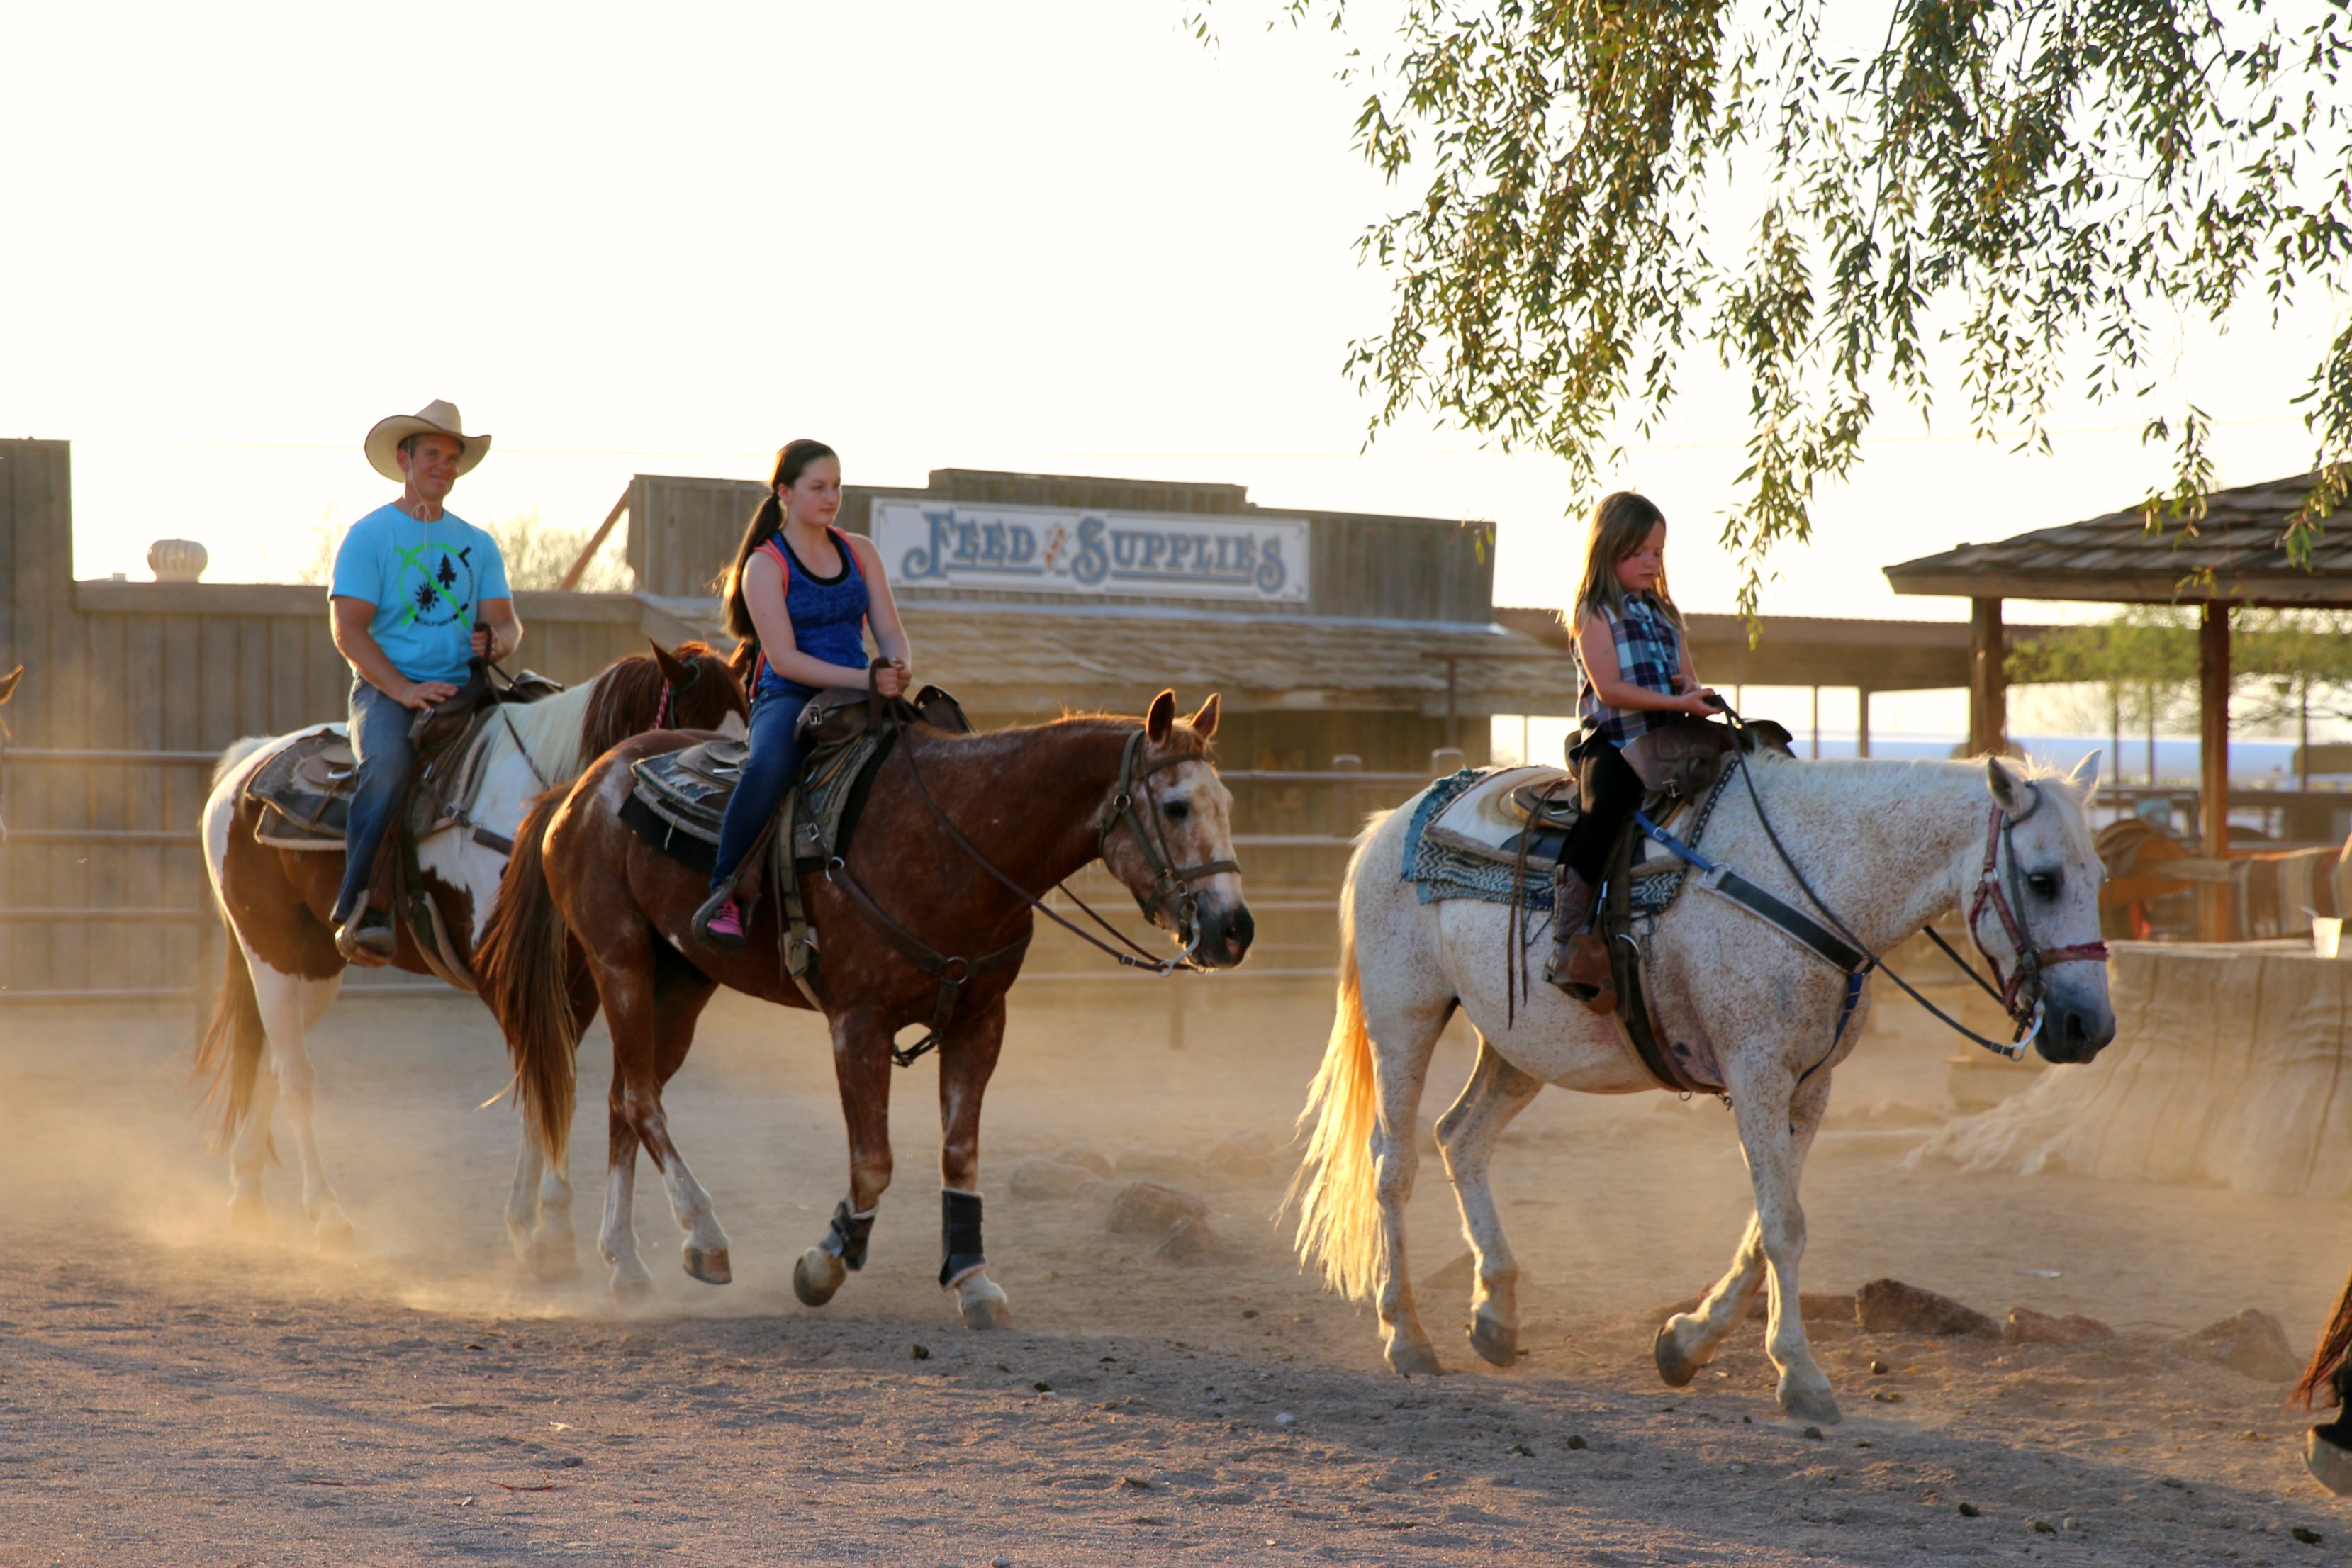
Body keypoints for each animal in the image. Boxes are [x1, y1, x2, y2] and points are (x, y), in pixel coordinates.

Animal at [196, 641, 744, 1250]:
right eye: (692, 740)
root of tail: (249, 762)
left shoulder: (575, 978)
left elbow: (561, 1080)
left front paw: (553, 1222)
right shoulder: (509, 978)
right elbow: (539, 1080)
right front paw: (532, 1229)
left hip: (311, 968)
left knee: (272, 1059)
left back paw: (247, 1192)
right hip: (269, 952)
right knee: (295, 1077)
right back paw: (327, 1214)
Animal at [477, 689, 1253, 1326]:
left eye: (1228, 804)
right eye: (1176, 806)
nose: (1234, 928)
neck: (957, 839)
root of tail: (581, 788)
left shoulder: (980, 1024)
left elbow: (960, 1156)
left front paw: (973, 1281)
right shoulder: (859, 1023)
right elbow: (873, 1161)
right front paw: (822, 1265)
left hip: (683, 981)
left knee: (623, 1101)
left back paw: (628, 1265)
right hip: (622, 964)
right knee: (639, 1099)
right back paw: (704, 1236)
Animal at [1289, 750, 2116, 1423]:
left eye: (2099, 877)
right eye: (2042, 880)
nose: (2090, 1027)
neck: (1805, 884)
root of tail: (1391, 822)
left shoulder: (1808, 1086)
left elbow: (1765, 1227)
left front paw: (1684, 1344)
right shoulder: (1755, 1071)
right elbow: (1783, 1226)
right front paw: (1802, 1377)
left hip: (1518, 1046)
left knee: (1460, 1138)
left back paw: (1495, 1315)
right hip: (1405, 1018)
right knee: (1394, 1164)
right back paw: (1407, 1335)